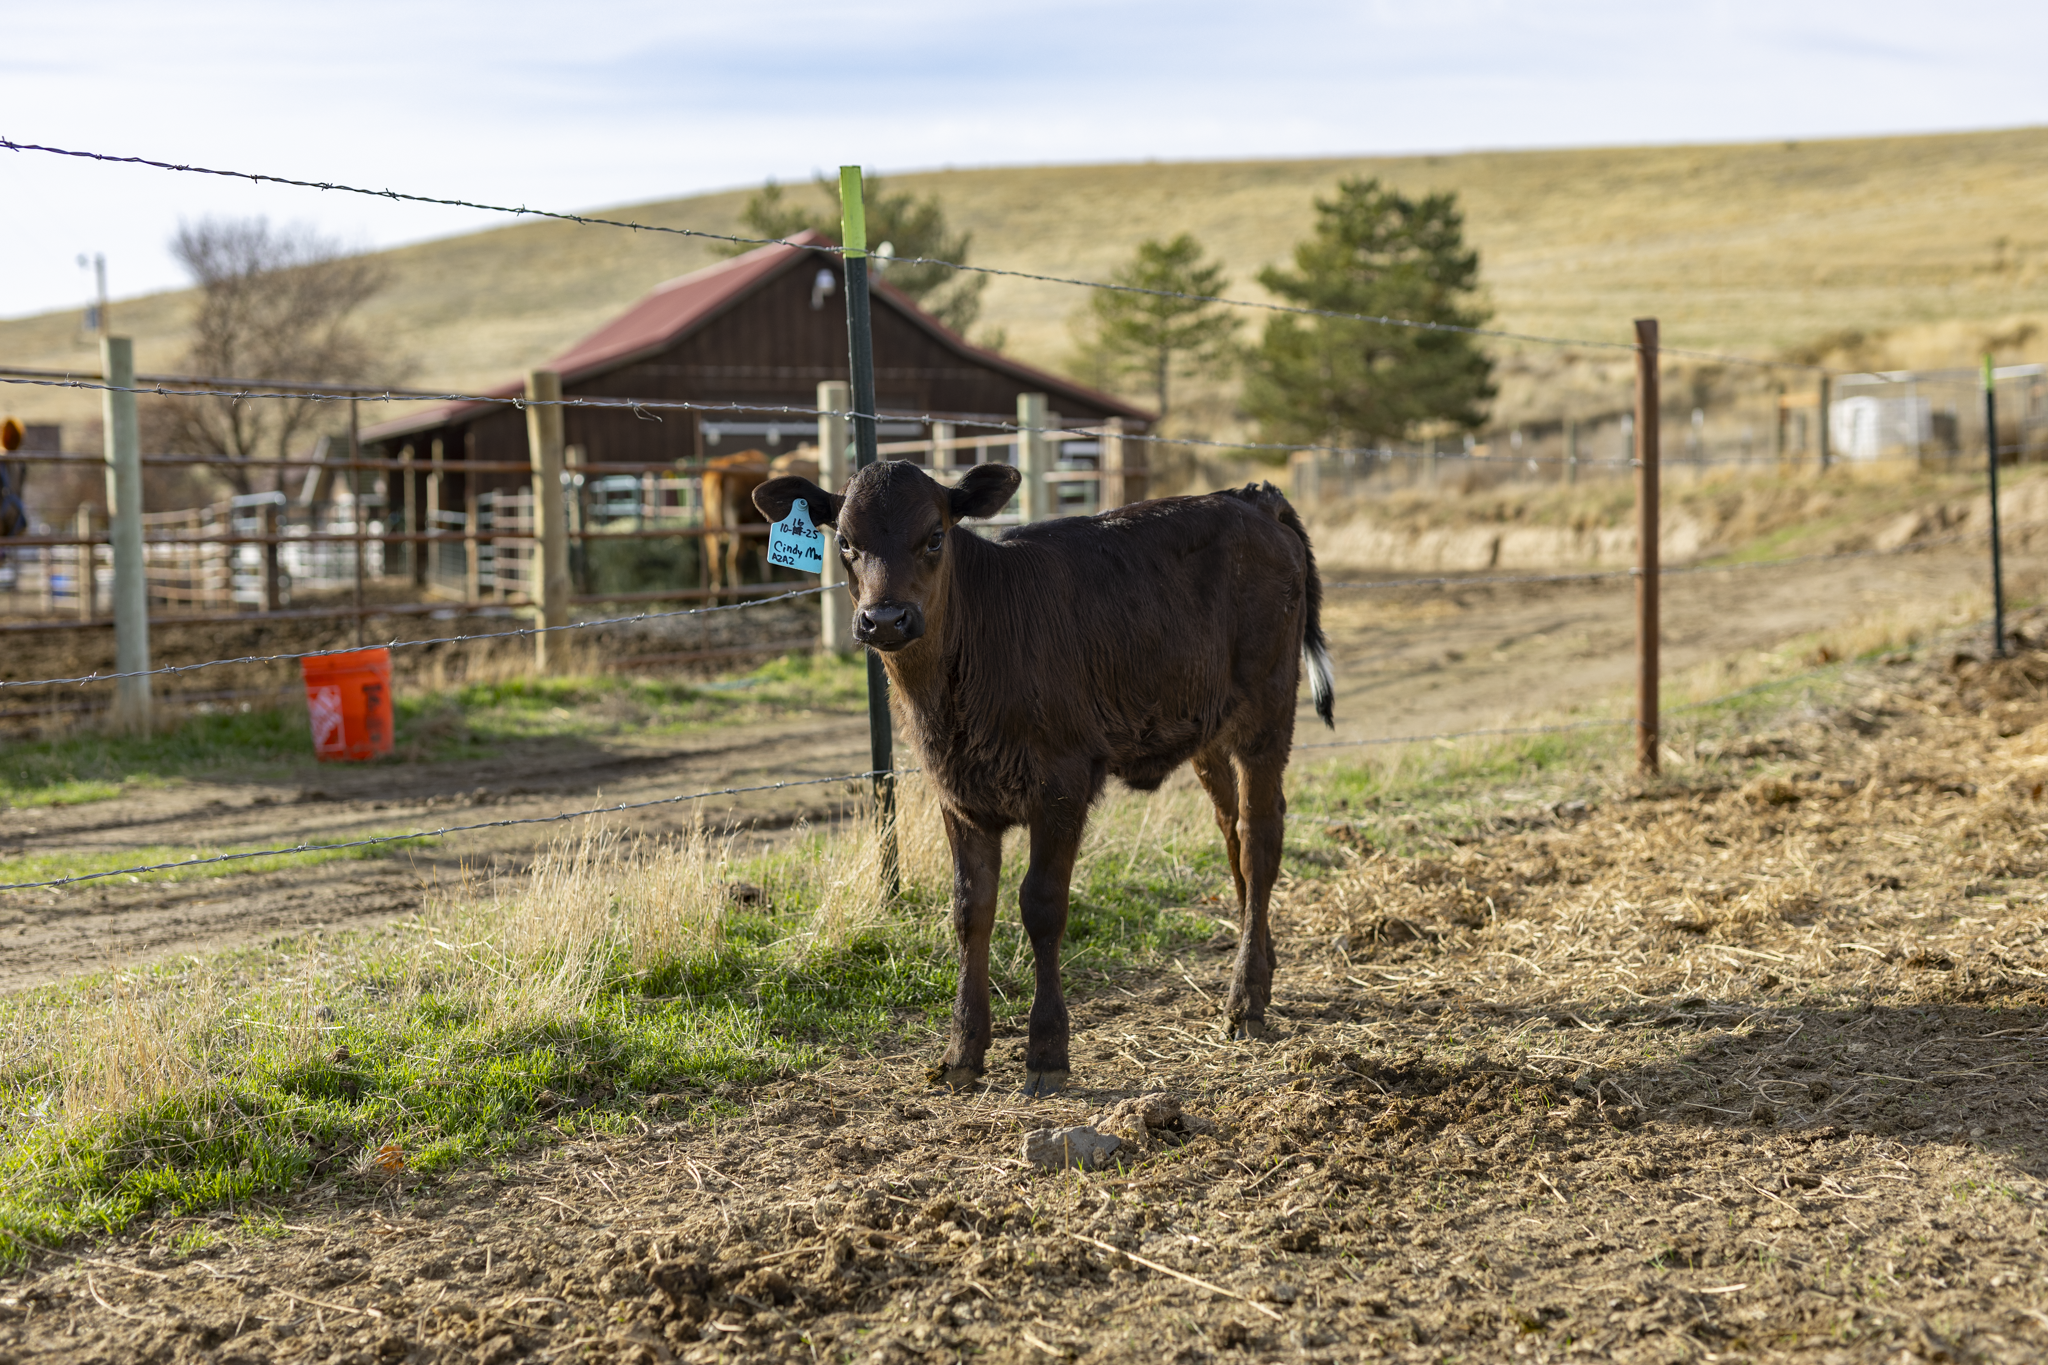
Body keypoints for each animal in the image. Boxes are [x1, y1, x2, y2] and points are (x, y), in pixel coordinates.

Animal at [700, 447, 820, 602]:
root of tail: (723, 470)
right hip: (739, 528)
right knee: (733, 559)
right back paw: (735, 596)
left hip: (711, 527)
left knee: (716, 559)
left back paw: (714, 597)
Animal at [754, 460, 1334, 1096]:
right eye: (844, 543)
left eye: (934, 536)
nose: (885, 618)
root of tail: (1250, 496)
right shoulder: (956, 795)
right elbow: (970, 909)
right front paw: (962, 1051)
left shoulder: (1062, 783)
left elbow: (1042, 904)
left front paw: (1047, 1048)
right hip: (1208, 731)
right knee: (1232, 831)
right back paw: (1262, 971)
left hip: (1266, 714)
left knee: (1259, 841)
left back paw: (1245, 999)